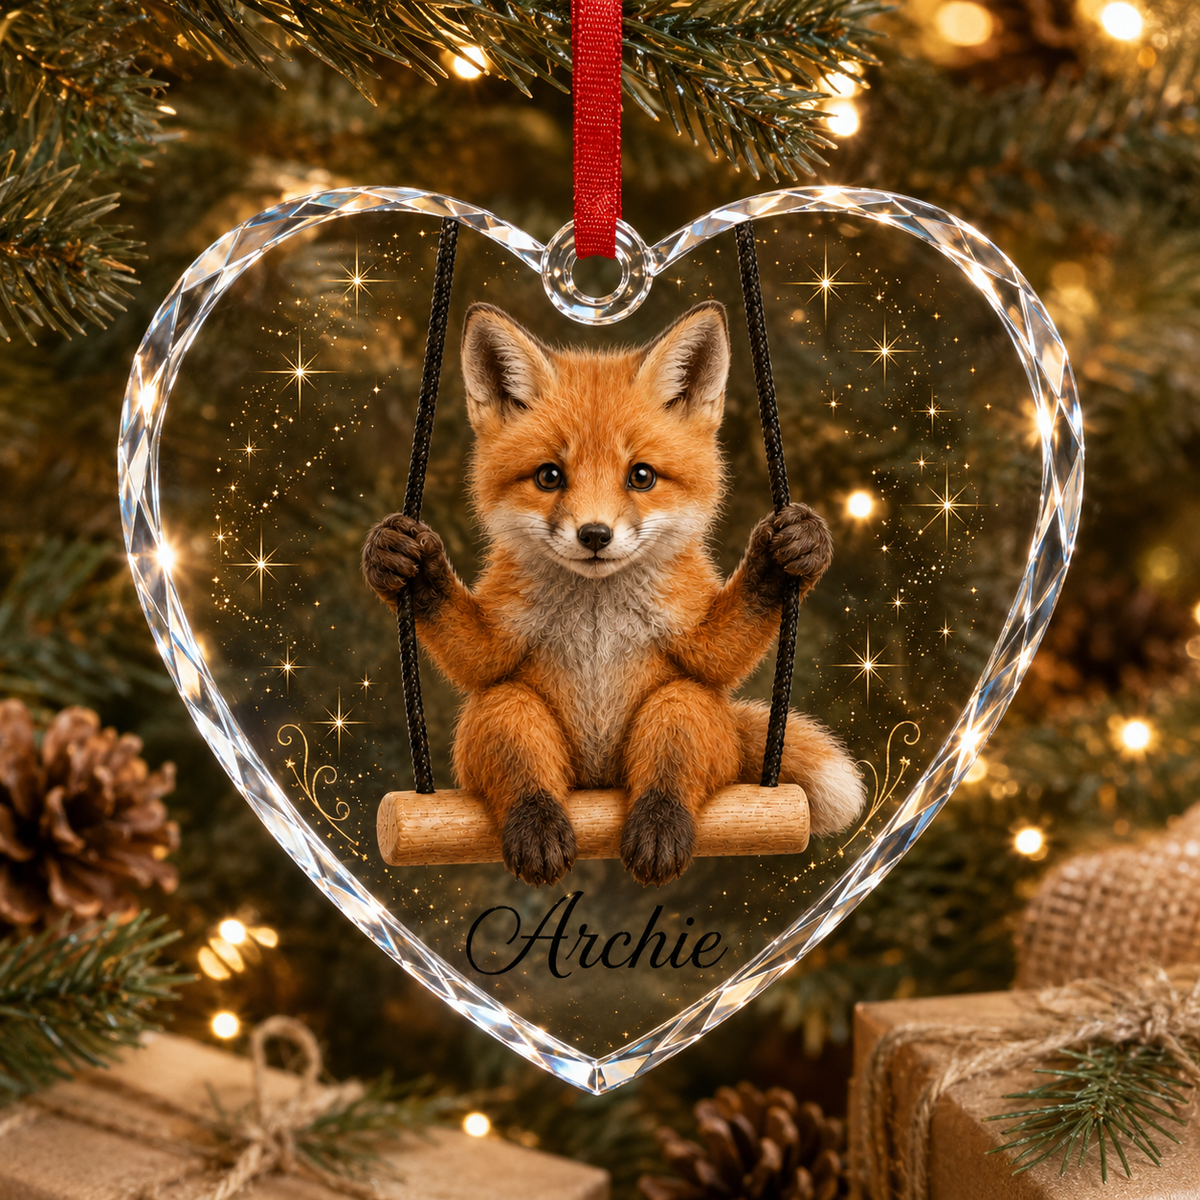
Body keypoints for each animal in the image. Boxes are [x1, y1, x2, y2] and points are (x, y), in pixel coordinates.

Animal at [362, 300, 865, 888]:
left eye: (641, 476)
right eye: (549, 476)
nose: (595, 535)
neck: (598, 603)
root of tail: (598, 783)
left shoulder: (691, 628)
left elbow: (721, 654)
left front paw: (793, 549)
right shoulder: (502, 629)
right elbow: (475, 658)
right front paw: (402, 559)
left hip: (683, 708)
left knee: (678, 736)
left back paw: (659, 822)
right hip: (507, 712)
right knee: (513, 733)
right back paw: (537, 824)